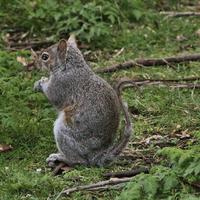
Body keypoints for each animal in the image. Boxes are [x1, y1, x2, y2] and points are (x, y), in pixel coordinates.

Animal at [32, 35, 133, 166]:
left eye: (45, 57)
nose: (35, 64)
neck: (69, 67)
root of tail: (96, 156)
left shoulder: (62, 84)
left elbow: (53, 96)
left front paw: (40, 83)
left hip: (64, 133)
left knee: (79, 161)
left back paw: (60, 157)